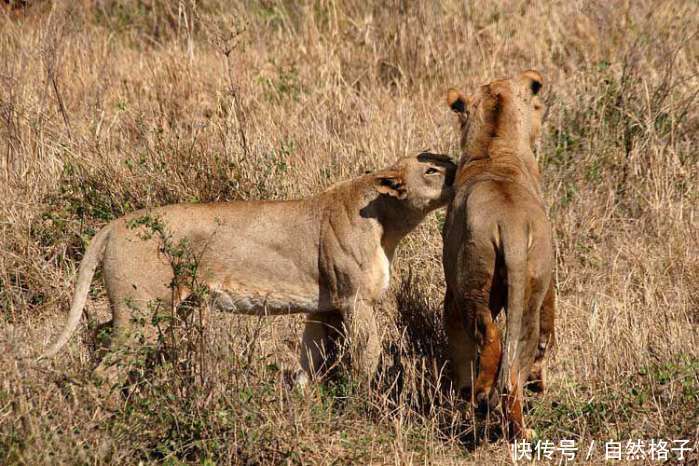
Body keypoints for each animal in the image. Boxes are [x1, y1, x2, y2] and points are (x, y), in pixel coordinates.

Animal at [39, 154, 454, 390]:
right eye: (433, 169)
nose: (461, 169)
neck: (390, 220)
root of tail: (113, 225)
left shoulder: (323, 306)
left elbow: (308, 360)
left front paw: (301, 402)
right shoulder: (354, 301)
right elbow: (367, 358)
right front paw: (369, 404)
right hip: (143, 312)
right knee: (104, 374)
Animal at [442, 71, 556, 438]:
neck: (495, 146)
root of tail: (512, 225)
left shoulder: (450, 293)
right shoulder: (550, 279)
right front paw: (539, 380)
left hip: (471, 279)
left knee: (488, 337)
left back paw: (480, 396)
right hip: (527, 287)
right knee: (515, 362)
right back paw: (521, 428)